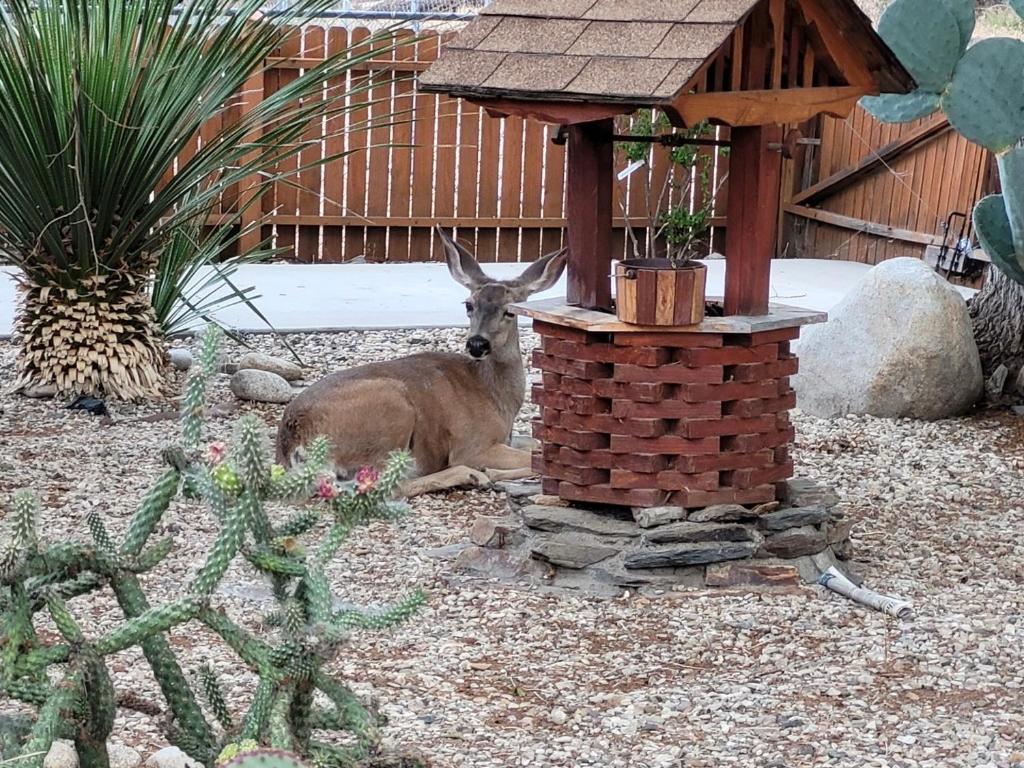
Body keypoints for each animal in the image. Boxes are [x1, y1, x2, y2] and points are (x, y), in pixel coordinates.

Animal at [276, 228, 569, 499]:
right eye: (468, 304)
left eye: (510, 311)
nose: (477, 344)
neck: (498, 399)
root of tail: (293, 441)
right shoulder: (472, 445)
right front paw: (491, 472)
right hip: (392, 408)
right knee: (383, 485)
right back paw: (471, 475)